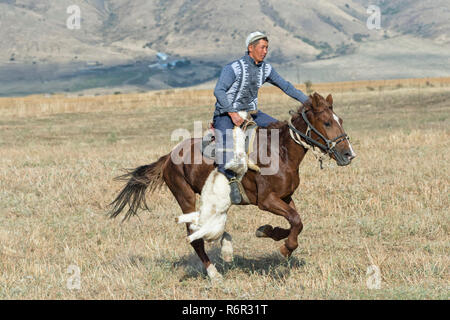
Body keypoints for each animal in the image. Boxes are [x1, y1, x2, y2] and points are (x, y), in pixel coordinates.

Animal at [109, 92, 356, 280]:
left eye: (341, 120)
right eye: (327, 122)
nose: (348, 154)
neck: (281, 151)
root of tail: (169, 157)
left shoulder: (285, 197)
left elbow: (297, 221)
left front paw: (268, 231)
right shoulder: (266, 201)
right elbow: (296, 221)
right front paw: (285, 248)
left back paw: (226, 247)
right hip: (185, 197)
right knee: (195, 236)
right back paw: (214, 272)